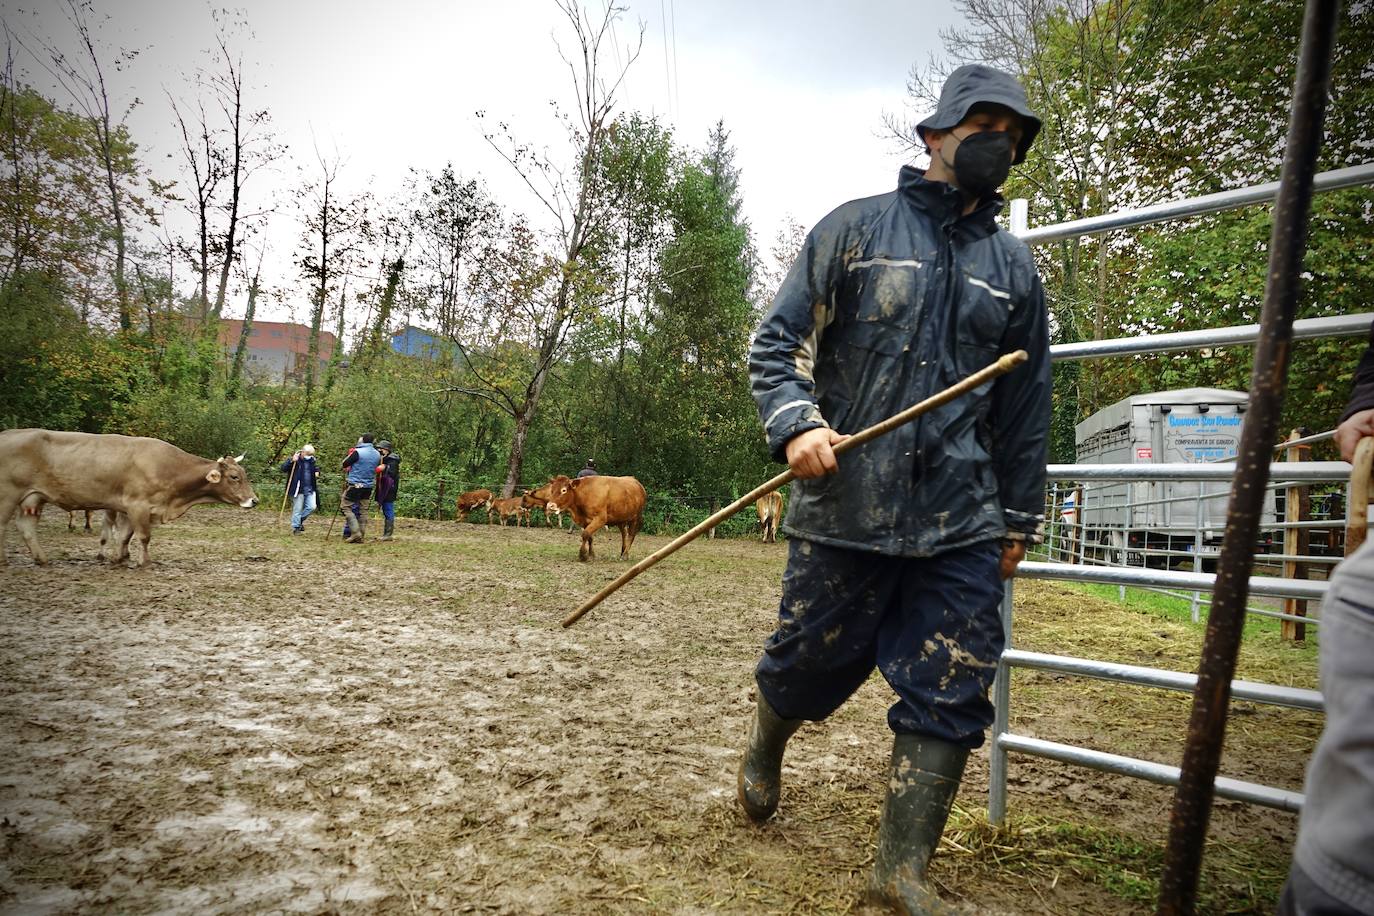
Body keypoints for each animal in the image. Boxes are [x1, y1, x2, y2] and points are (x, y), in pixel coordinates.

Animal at [0, 428, 258, 565]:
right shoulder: (138, 506)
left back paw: (41, 559)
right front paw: (144, 561)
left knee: (26, 527)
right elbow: (144, 536)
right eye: (234, 476)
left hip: (33, 498)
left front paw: (119, 558)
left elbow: (124, 536)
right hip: (8, 495)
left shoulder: (127, 508)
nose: (255, 500)